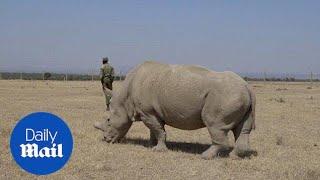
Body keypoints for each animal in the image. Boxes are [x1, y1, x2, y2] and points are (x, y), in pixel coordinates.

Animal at [94, 60, 256, 159]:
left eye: (108, 121)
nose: (106, 139)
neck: (124, 98)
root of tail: (247, 87)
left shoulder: (148, 112)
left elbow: (158, 130)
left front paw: (158, 150)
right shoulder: (151, 113)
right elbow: (154, 130)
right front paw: (151, 145)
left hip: (225, 96)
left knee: (215, 125)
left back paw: (205, 156)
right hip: (237, 95)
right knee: (242, 129)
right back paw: (234, 156)